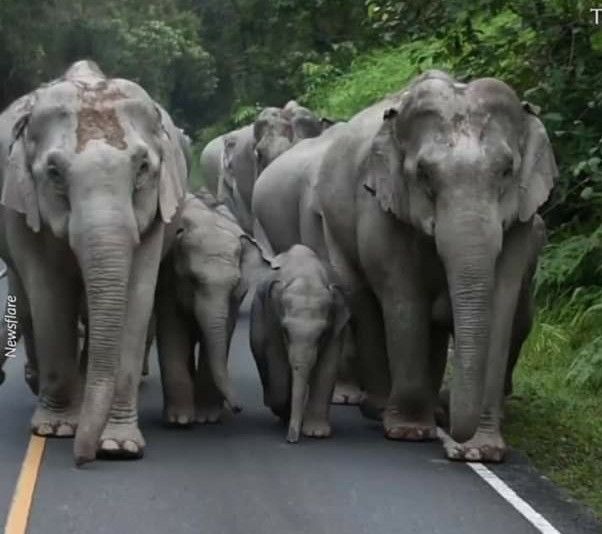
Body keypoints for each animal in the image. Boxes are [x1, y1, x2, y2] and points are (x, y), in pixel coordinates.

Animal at [0, 60, 188, 465]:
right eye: (54, 173)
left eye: (143, 168)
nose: (81, 459)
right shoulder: (21, 208)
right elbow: (49, 293)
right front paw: (54, 429)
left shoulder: (155, 213)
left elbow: (136, 299)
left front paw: (118, 446)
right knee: (27, 298)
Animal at [156, 189, 269, 425]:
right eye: (192, 280)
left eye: (235, 283)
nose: (238, 408)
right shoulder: (166, 278)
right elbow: (172, 328)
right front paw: (180, 420)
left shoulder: (234, 297)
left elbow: (222, 331)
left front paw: (207, 418)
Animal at [249, 244, 350, 443]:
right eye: (286, 332)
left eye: (321, 335)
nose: (291, 440)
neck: (306, 275)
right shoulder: (272, 318)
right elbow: (278, 362)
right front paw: (284, 413)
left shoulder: (337, 325)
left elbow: (328, 367)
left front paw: (316, 433)